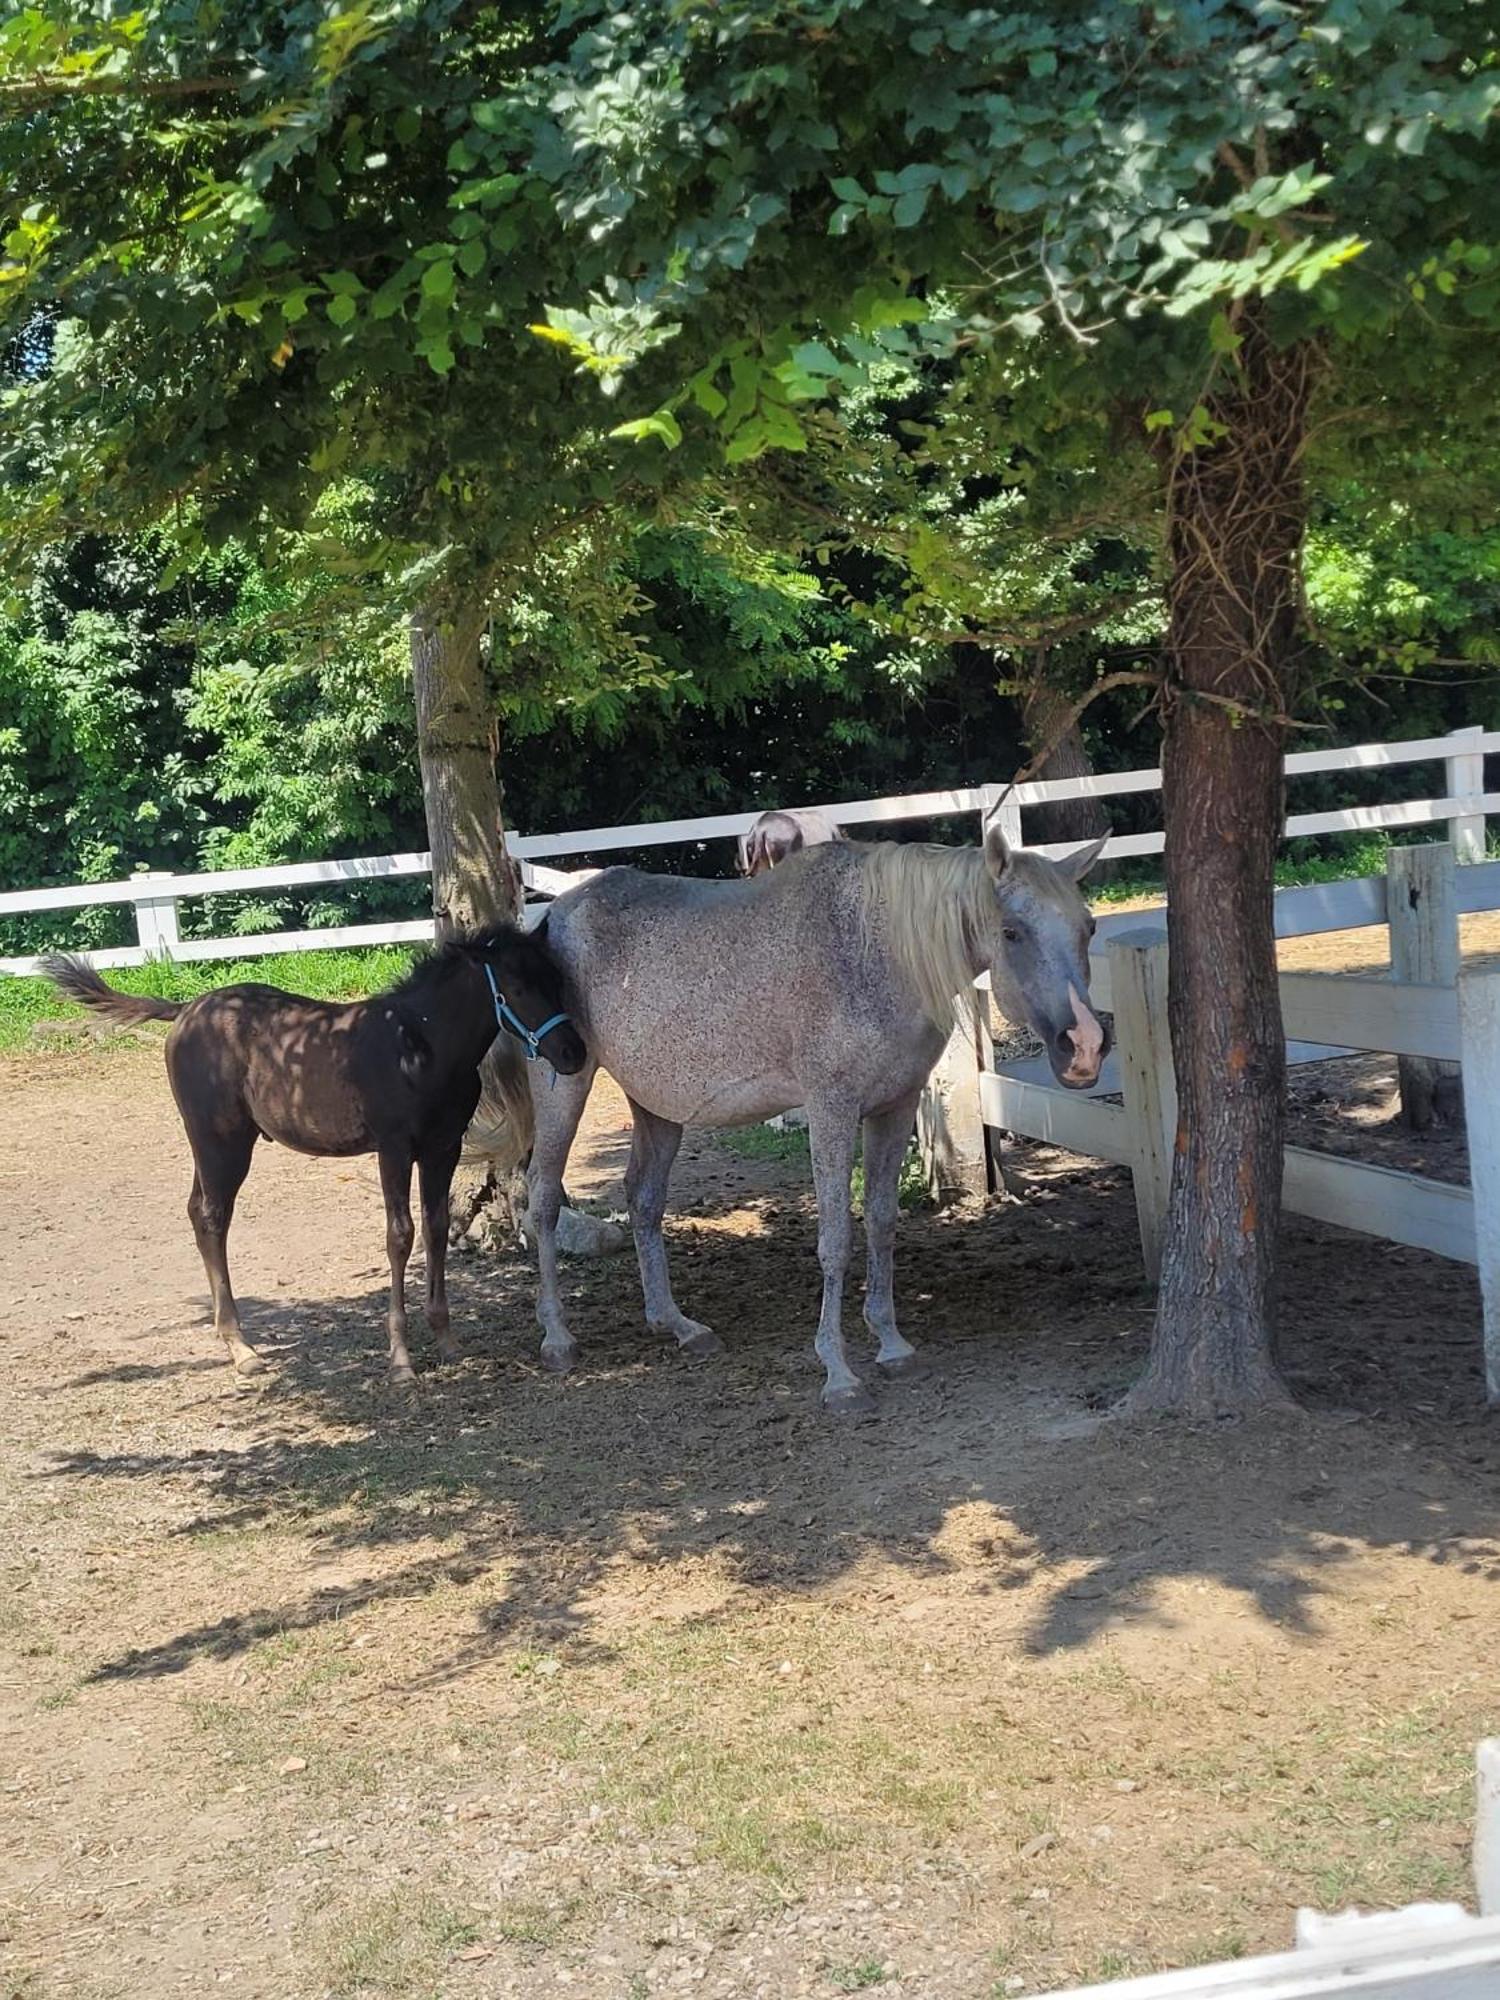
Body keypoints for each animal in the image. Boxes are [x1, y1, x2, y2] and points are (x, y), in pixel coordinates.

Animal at [44, 928, 584, 1384]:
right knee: (211, 1217)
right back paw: (241, 1348)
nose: (572, 1053)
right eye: (516, 987)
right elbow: (399, 1236)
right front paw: (400, 1361)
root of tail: (185, 1010)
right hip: (219, 1140)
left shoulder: (443, 1147)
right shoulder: (393, 1148)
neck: (420, 1045)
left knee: (199, 1212)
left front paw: (446, 1340)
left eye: (558, 980)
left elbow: (434, 1229)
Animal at [524, 820, 1112, 1416]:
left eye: (1088, 928)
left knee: (643, 1198)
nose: (1085, 1048)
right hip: (563, 1085)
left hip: (658, 1105)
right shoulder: (832, 1107)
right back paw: (557, 1338)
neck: (878, 953)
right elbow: (836, 1238)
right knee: (544, 1199)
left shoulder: (895, 1107)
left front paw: (891, 1343)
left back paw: (678, 1325)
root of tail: (553, 915)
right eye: (1012, 932)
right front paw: (838, 1372)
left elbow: (881, 1222)